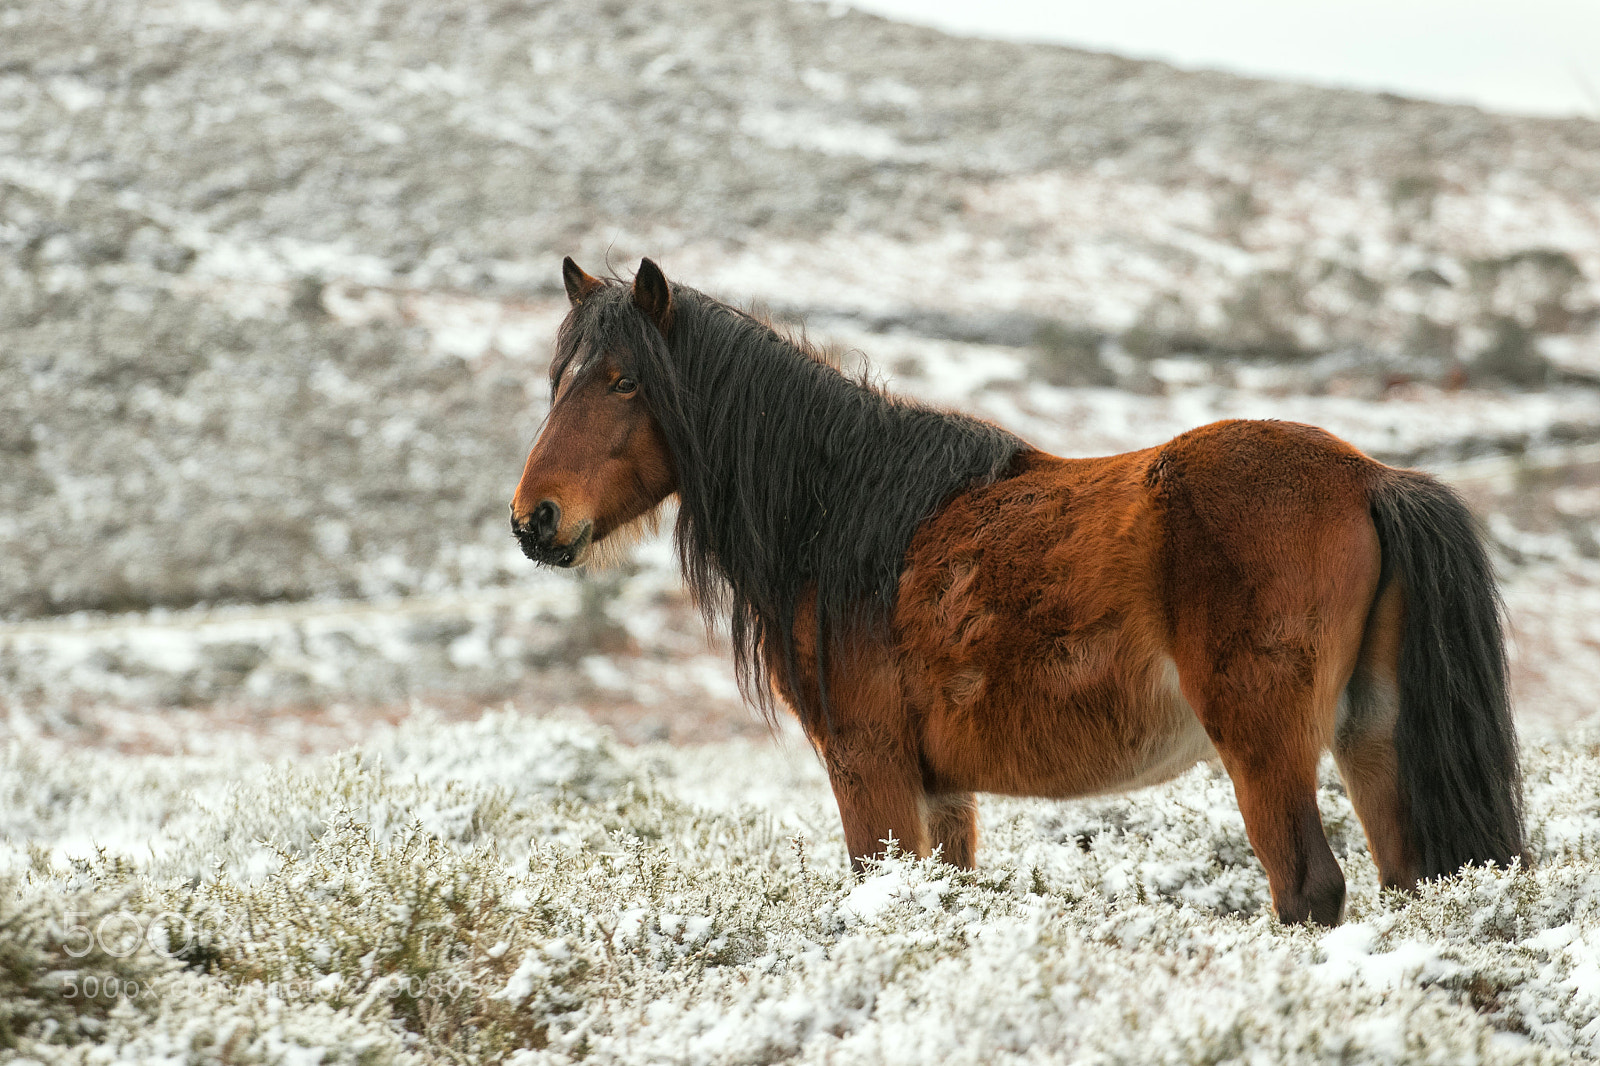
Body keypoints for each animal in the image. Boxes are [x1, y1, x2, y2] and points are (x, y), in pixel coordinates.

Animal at [510, 257, 1525, 927]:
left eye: (625, 381)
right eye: (557, 379)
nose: (534, 519)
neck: (843, 514)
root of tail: (1370, 478)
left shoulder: (870, 772)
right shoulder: (943, 793)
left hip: (1266, 746)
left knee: (1308, 889)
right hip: (1372, 741)